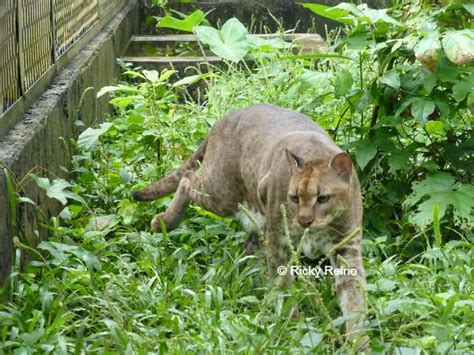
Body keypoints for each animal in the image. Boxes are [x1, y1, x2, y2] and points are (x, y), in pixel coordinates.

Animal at [131, 103, 368, 350]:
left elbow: (354, 296)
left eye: (322, 198)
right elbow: (284, 286)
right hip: (221, 195)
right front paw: (294, 329)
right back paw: (164, 221)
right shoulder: (279, 241)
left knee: (247, 245)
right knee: (188, 177)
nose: (304, 221)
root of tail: (226, 117)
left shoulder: (345, 247)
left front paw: (359, 343)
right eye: (294, 197)